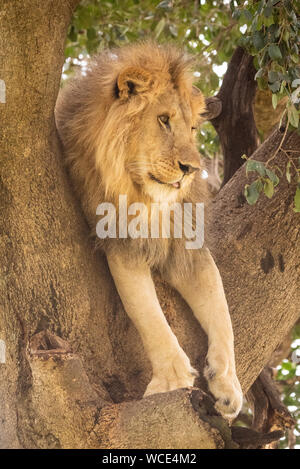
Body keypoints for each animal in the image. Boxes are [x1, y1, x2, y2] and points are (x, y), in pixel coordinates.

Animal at [55, 41, 244, 420]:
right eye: (163, 120)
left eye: (192, 129)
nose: (191, 169)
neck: (148, 199)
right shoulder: (120, 240)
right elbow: (147, 315)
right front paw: (171, 380)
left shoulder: (188, 244)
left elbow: (221, 310)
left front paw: (228, 385)